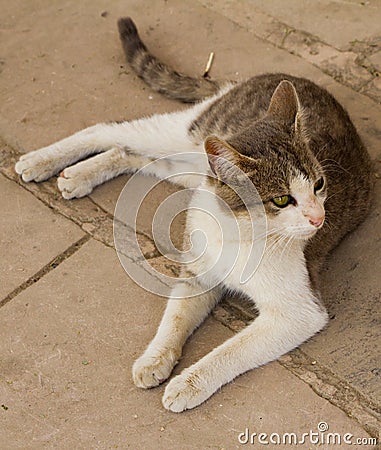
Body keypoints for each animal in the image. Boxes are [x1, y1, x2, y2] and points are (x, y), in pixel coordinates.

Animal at [14, 17, 372, 412]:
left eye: (321, 184)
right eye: (281, 200)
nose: (318, 219)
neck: (240, 230)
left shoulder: (299, 312)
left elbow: (230, 350)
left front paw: (188, 382)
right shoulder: (198, 271)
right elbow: (175, 315)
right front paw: (155, 357)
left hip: (188, 165)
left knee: (129, 152)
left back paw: (77, 175)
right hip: (188, 139)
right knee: (109, 129)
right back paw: (42, 160)